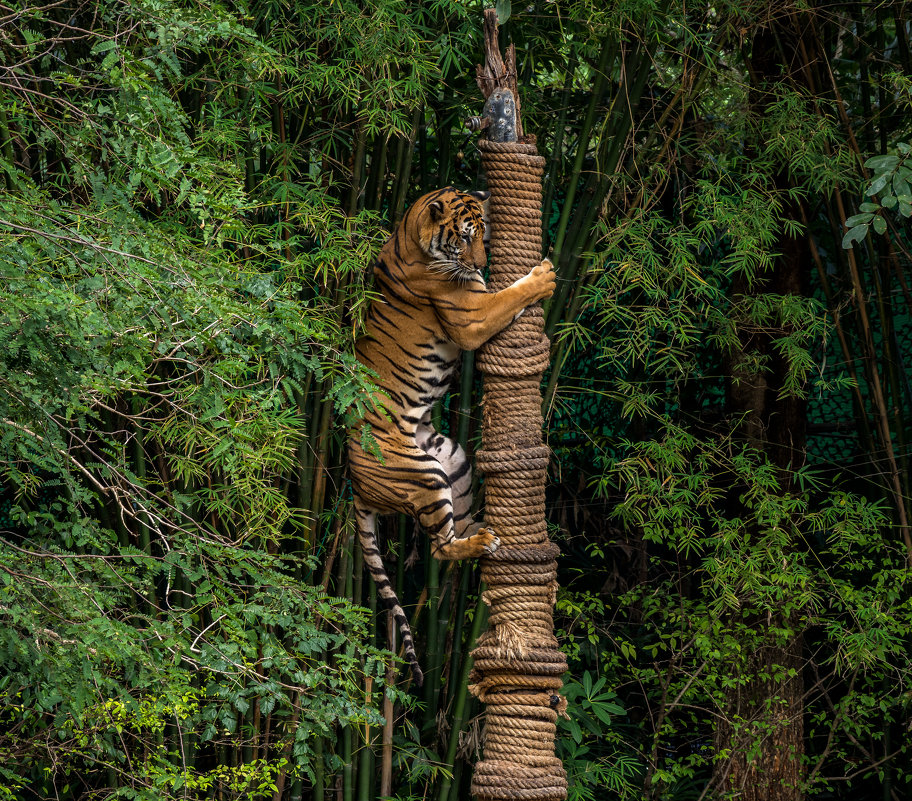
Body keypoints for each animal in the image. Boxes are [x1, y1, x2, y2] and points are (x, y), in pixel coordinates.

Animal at [346, 184, 552, 684]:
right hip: (422, 476)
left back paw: (502, 538)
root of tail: (354, 485)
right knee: (439, 548)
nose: (479, 264)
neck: (411, 226)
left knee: (457, 525)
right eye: (464, 237)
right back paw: (483, 541)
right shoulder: (471, 315)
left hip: (453, 460)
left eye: (483, 233)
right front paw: (543, 277)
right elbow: (509, 297)